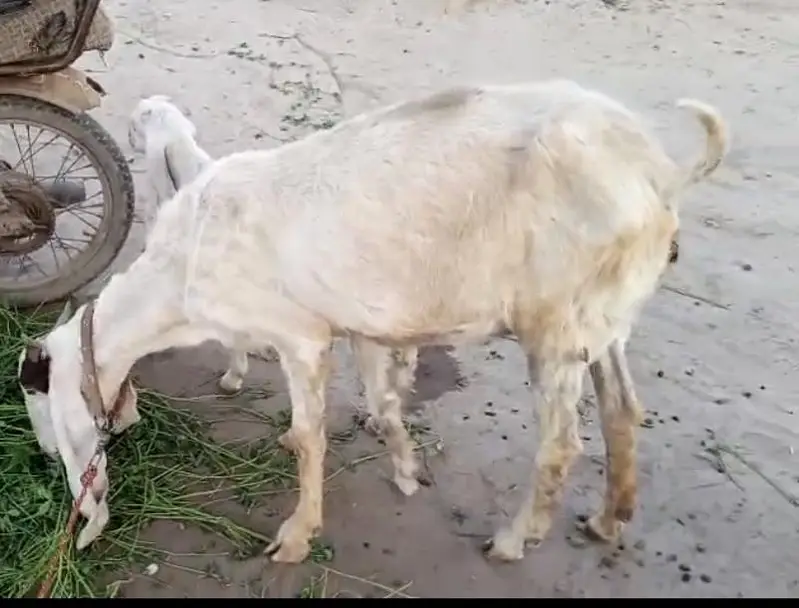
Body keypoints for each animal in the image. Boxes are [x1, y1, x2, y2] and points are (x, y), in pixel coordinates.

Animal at [20, 80, 727, 563]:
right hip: (599, 318)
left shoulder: (300, 334)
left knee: (560, 445)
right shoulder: (358, 322)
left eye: (37, 399)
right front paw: (406, 468)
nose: (49, 461)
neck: (181, 271)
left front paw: (296, 537)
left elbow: (314, 436)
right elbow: (383, 400)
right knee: (622, 410)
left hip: (556, 326)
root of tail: (658, 172)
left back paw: (511, 539)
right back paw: (610, 519)